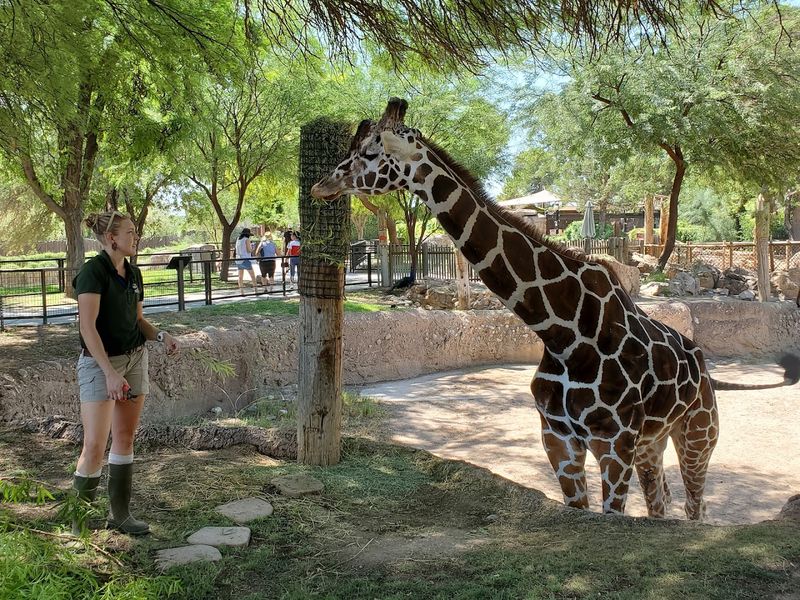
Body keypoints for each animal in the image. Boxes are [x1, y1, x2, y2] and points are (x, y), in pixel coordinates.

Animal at [311, 98, 800, 520]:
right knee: (660, 502)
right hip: (652, 443)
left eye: (370, 152)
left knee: (697, 506)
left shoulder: (613, 443)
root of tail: (702, 364)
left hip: (698, 433)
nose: (321, 185)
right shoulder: (558, 438)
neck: (562, 333)